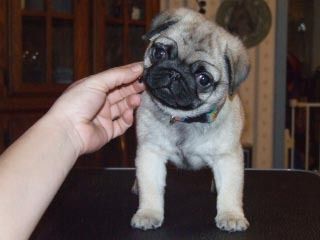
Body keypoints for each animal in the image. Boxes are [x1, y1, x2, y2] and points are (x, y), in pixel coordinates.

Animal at [131, 8, 250, 232]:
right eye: (159, 53)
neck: (183, 119)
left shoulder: (227, 158)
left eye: (203, 79)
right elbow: (150, 187)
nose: (175, 73)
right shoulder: (151, 153)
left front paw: (231, 215)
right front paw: (148, 213)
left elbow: (230, 190)